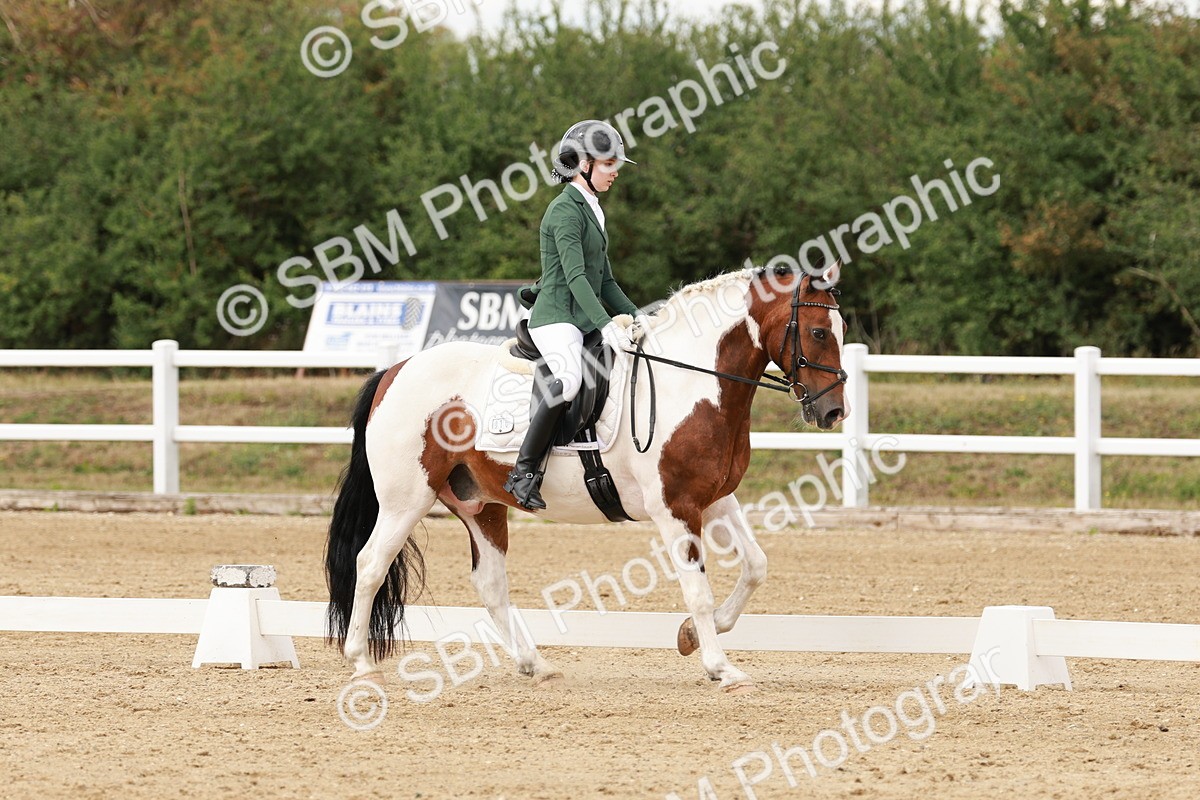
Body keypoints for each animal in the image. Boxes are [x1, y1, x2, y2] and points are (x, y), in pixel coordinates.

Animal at [324, 261, 848, 692]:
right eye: (819, 332)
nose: (833, 412)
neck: (693, 382)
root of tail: (395, 369)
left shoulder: (715, 498)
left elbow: (756, 565)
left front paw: (689, 637)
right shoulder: (675, 508)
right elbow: (698, 590)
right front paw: (721, 668)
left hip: (481, 505)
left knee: (490, 584)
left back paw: (535, 665)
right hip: (406, 500)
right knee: (370, 564)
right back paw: (362, 664)